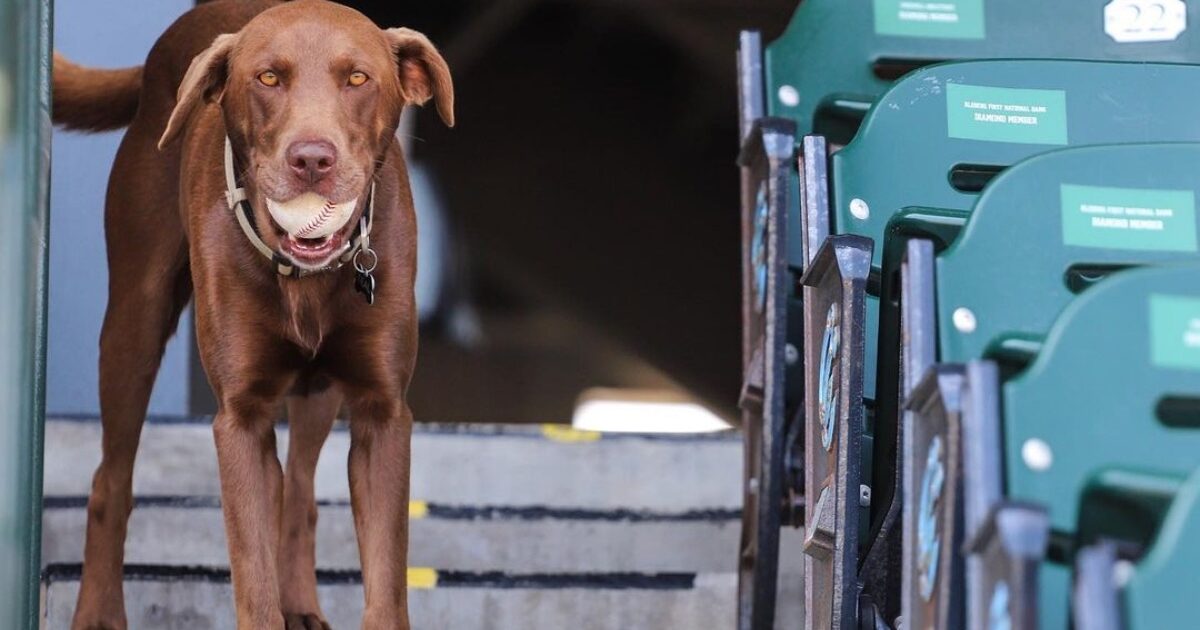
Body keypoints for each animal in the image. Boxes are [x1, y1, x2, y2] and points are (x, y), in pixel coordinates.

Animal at [51, 2, 453, 624]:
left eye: (358, 78)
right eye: (267, 78)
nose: (312, 159)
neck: (306, 276)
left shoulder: (382, 414)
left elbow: (385, 584)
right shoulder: (239, 419)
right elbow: (252, 578)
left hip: (318, 389)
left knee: (300, 490)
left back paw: (302, 603)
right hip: (132, 327)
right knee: (110, 480)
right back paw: (98, 612)